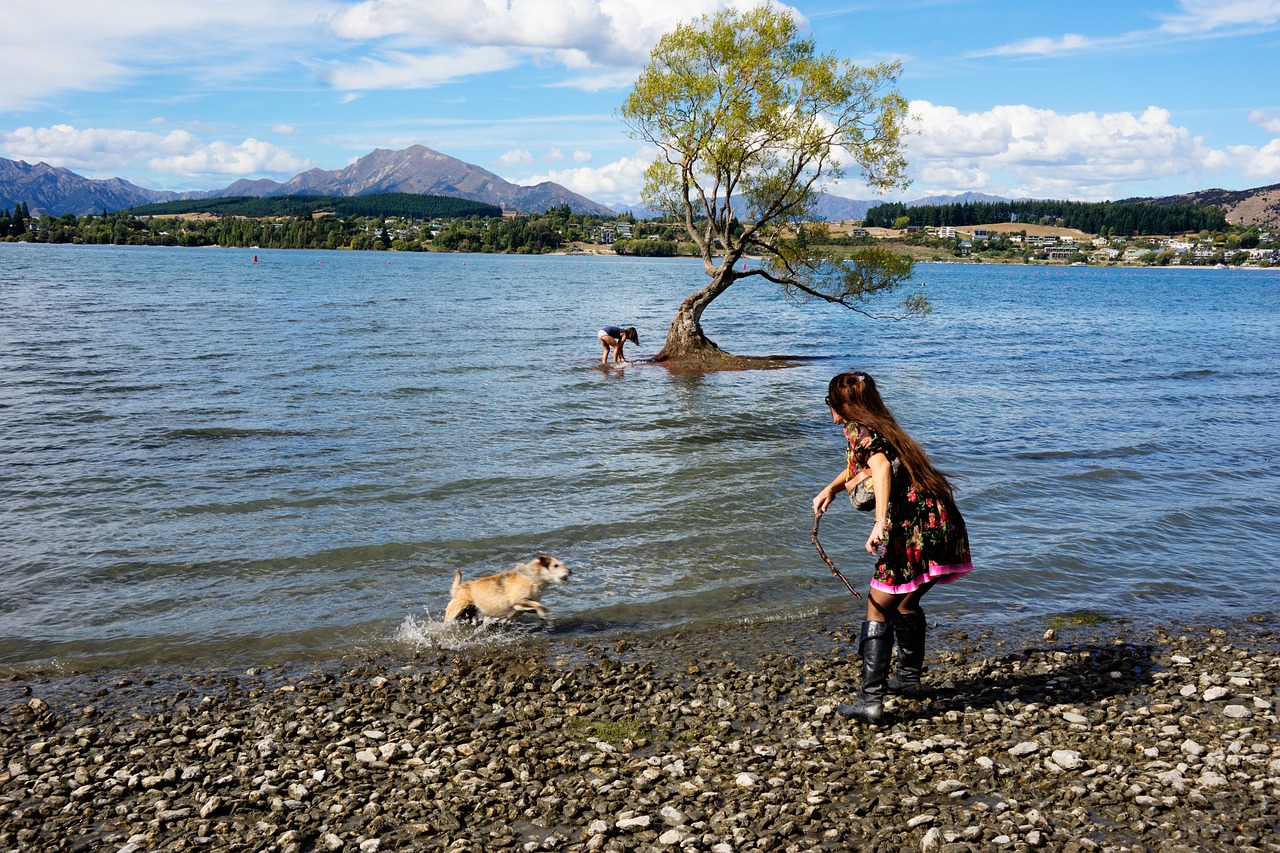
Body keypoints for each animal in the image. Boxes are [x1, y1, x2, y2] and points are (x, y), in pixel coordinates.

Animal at [445, 555, 576, 622]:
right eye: (555, 565)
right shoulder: (517, 599)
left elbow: (531, 605)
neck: (533, 576)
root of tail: (458, 589)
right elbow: (537, 604)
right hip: (455, 611)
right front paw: (543, 612)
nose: (570, 571)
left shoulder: (521, 603)